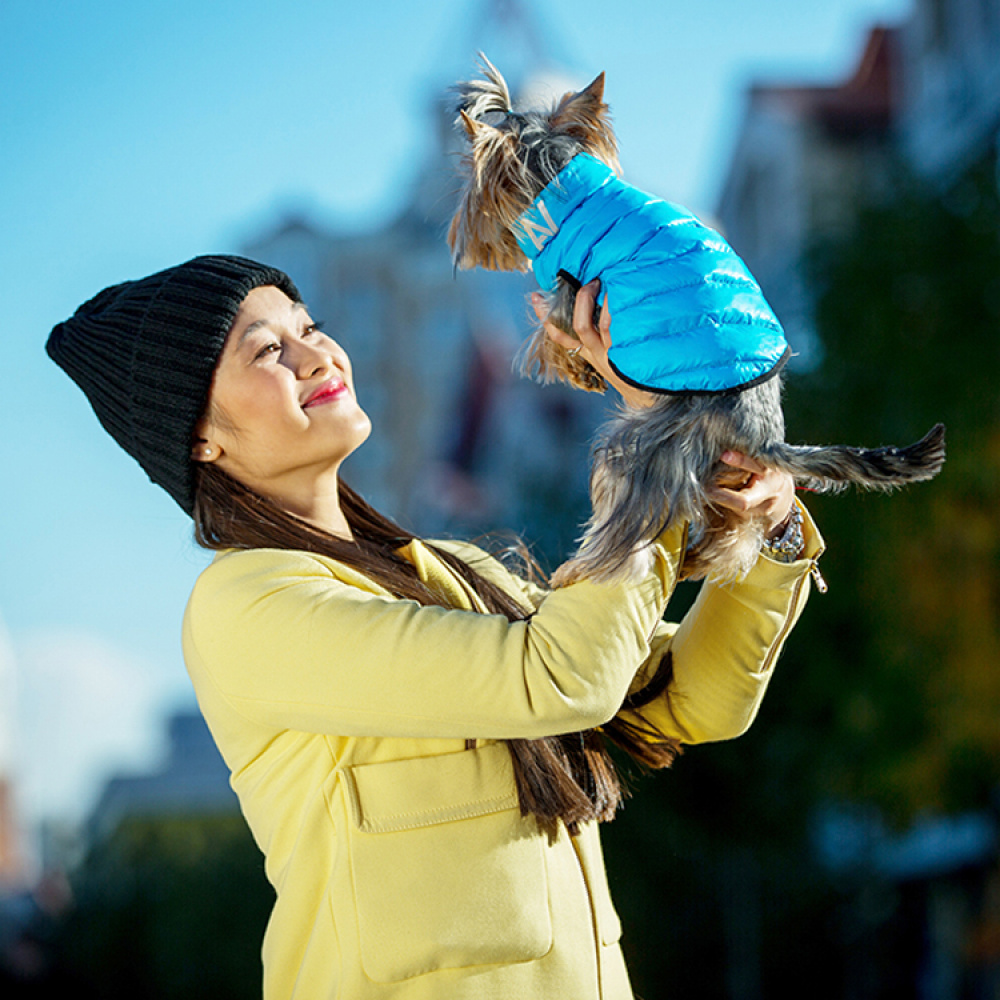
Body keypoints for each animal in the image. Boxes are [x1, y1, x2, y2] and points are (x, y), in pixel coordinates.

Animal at [448, 56, 944, 584]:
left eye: (471, 193)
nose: (463, 238)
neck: (560, 175)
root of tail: (762, 436)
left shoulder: (573, 290)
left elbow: (551, 333)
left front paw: (572, 366)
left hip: (646, 446)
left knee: (629, 532)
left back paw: (577, 570)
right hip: (718, 470)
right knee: (736, 532)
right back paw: (699, 557)